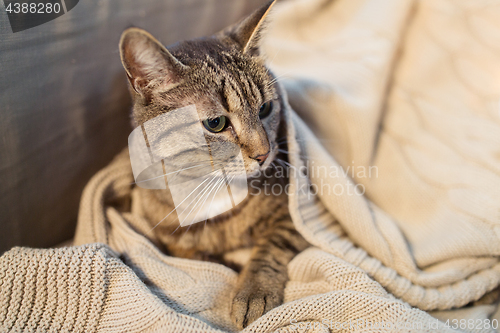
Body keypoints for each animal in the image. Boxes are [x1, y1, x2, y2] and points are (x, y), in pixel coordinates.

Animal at [120, 0, 308, 326]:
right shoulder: (167, 238)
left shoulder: (293, 216)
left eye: (265, 108)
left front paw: (254, 290)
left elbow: (270, 249)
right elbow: (196, 257)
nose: (264, 154)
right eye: (216, 123)